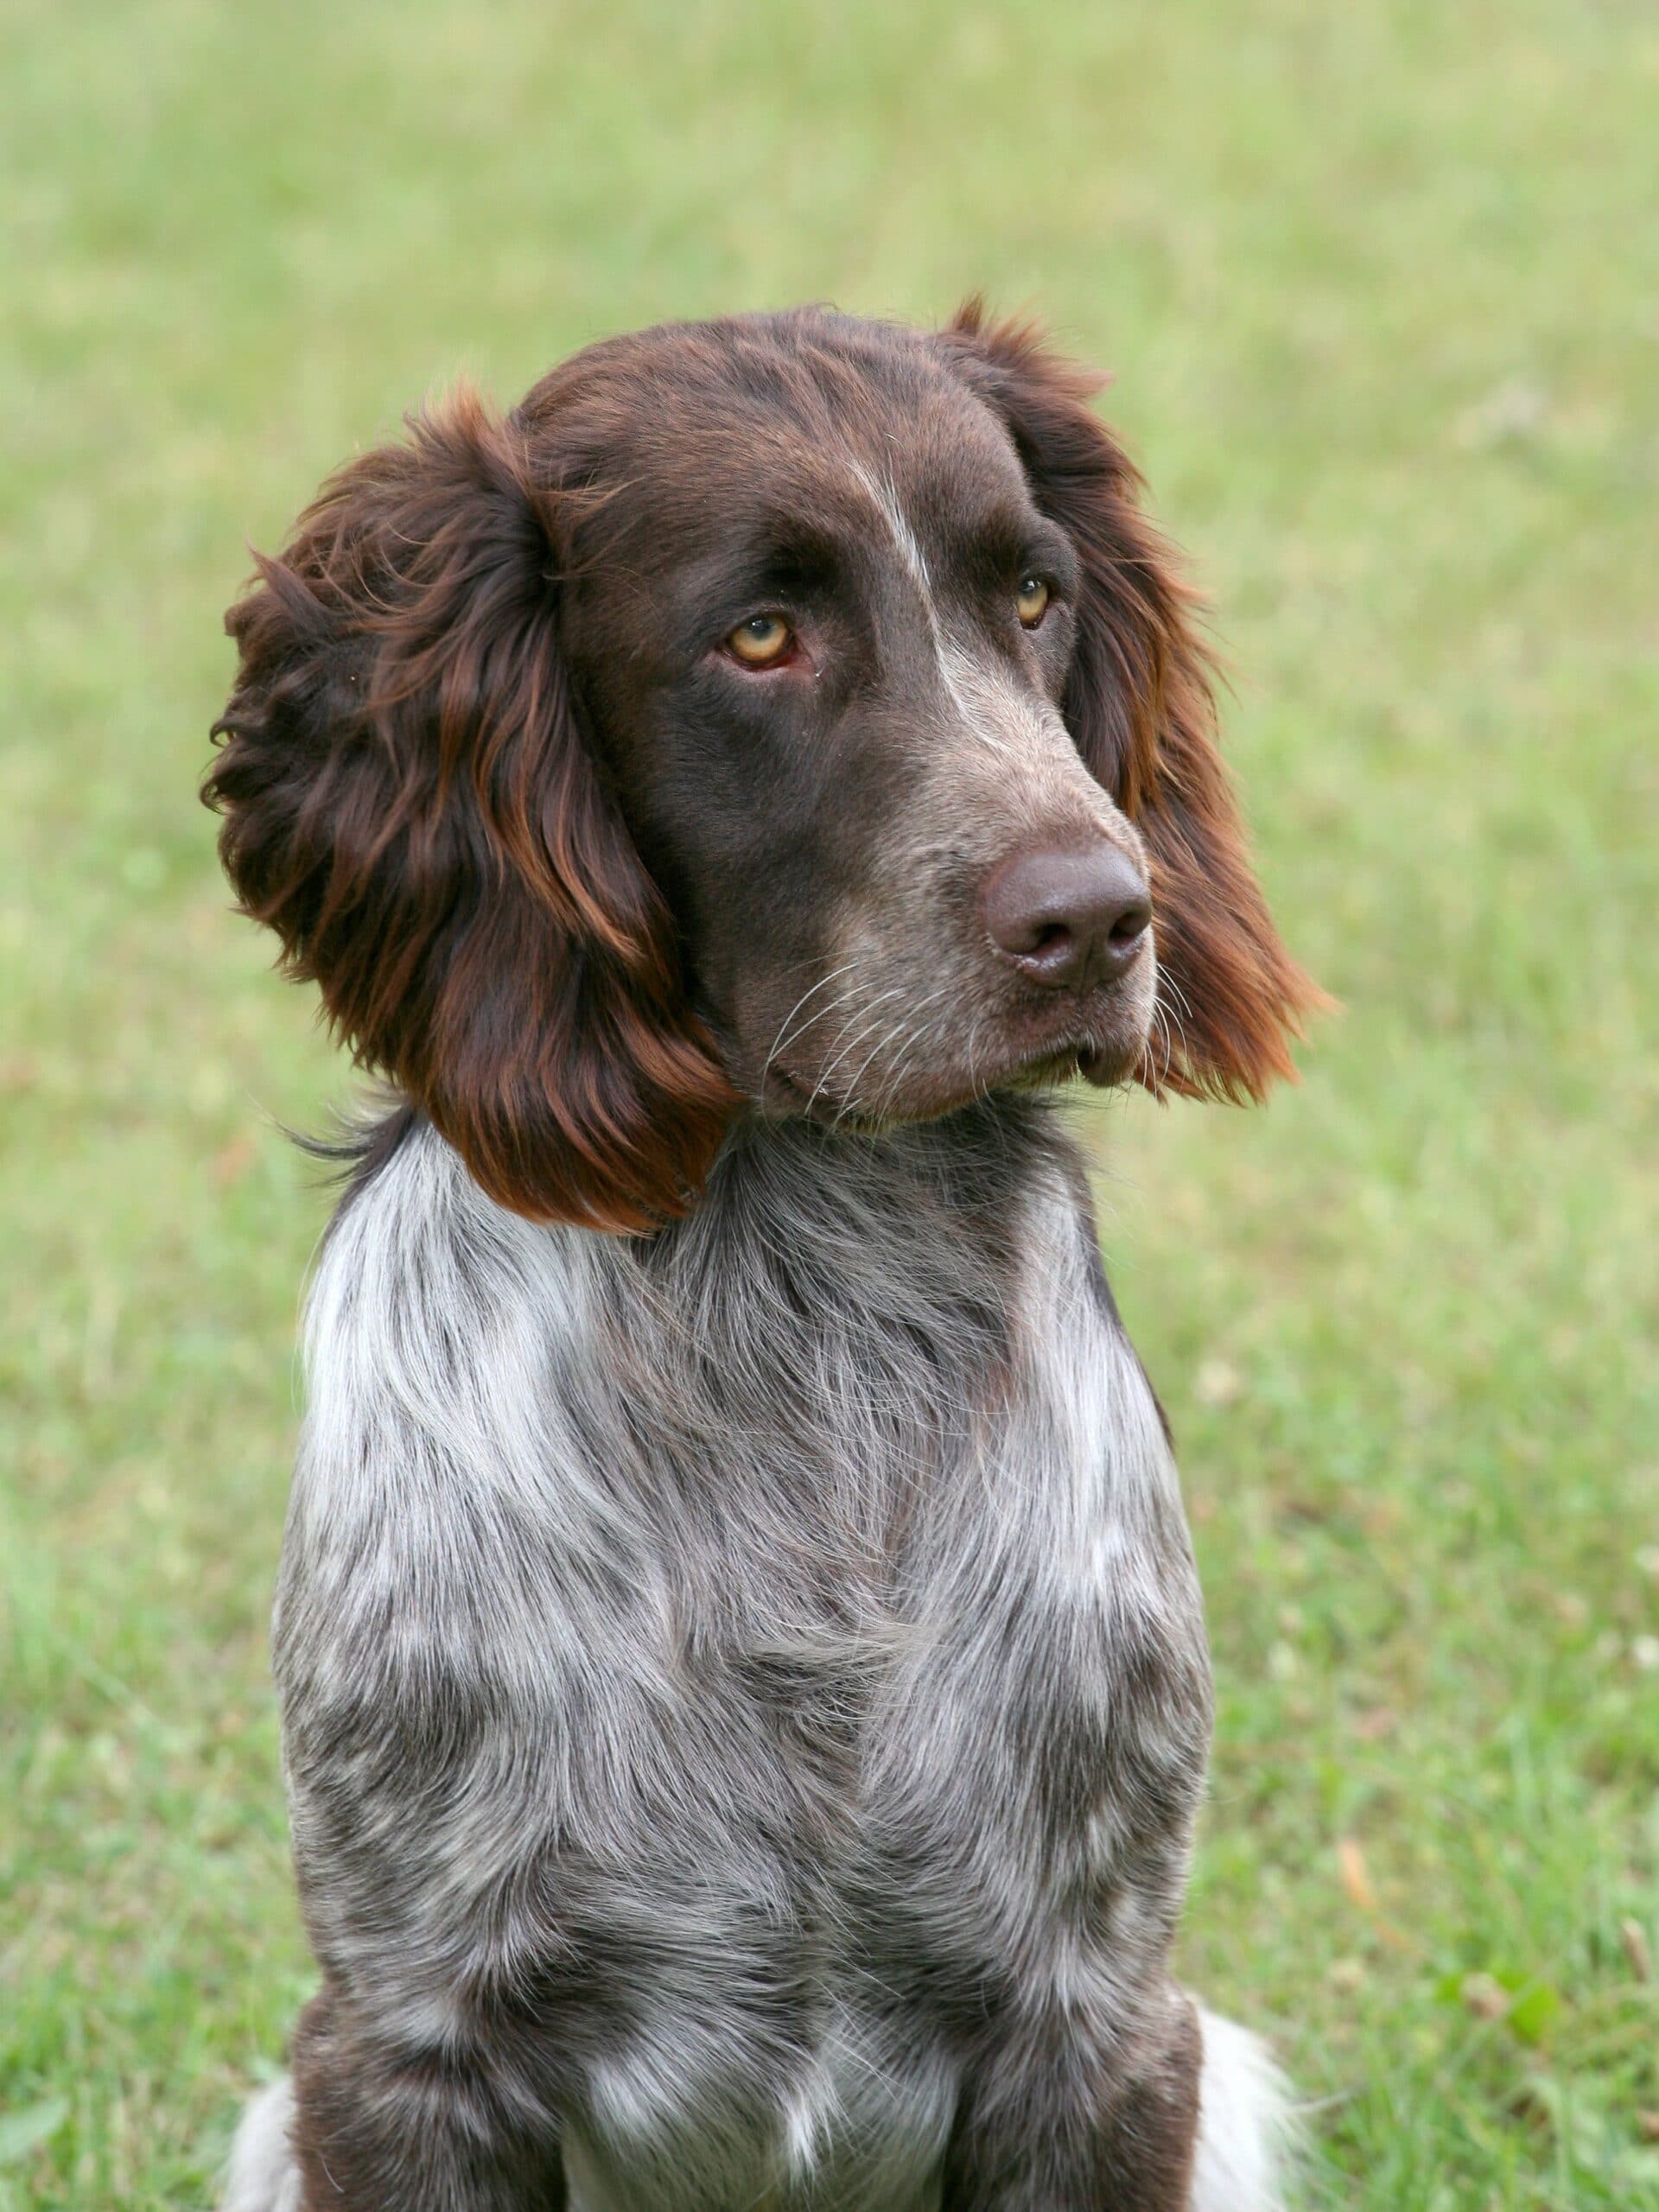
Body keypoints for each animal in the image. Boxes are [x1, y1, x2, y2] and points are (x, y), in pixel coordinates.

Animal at [207, 298, 1327, 2212]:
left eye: (1034, 595)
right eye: (760, 636)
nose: (1104, 914)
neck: (802, 1296)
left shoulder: (1099, 2022)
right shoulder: (409, 2043)